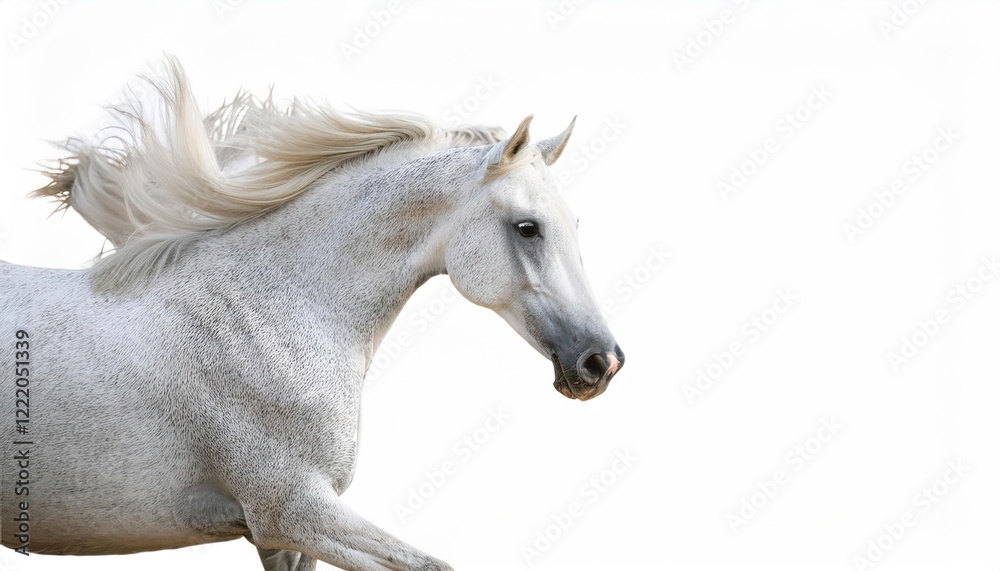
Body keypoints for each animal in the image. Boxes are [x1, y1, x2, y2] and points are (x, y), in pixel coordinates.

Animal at [0, 57, 624, 571]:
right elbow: (433, 566)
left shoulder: (286, 538)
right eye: (528, 227)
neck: (272, 316)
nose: (602, 363)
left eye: (575, 225)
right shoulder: (292, 511)